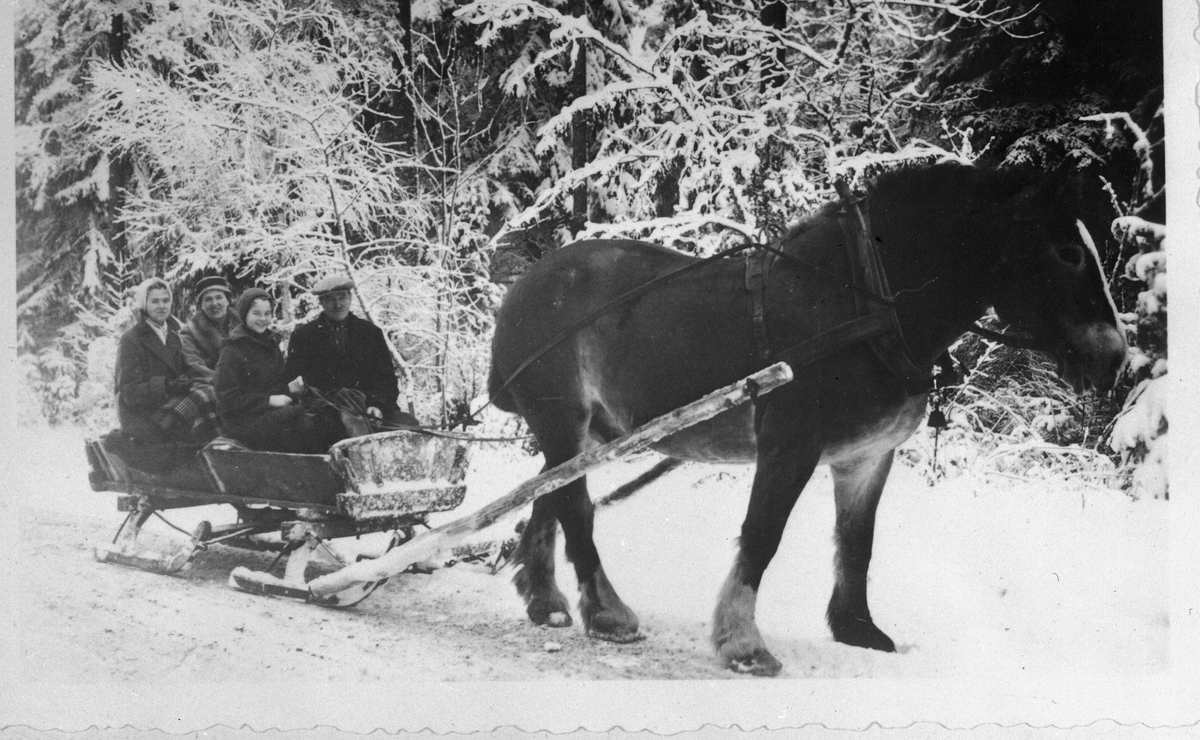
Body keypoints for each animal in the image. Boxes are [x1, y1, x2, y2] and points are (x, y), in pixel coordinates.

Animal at [484, 161, 1123, 676]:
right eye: (1066, 251)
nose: (1115, 356)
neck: (861, 304)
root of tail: (525, 284)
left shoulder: (867, 457)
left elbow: (857, 543)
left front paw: (857, 629)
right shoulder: (790, 445)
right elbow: (762, 536)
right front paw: (743, 643)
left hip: (589, 432)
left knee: (551, 493)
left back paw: (545, 600)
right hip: (563, 421)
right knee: (574, 507)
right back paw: (607, 613)